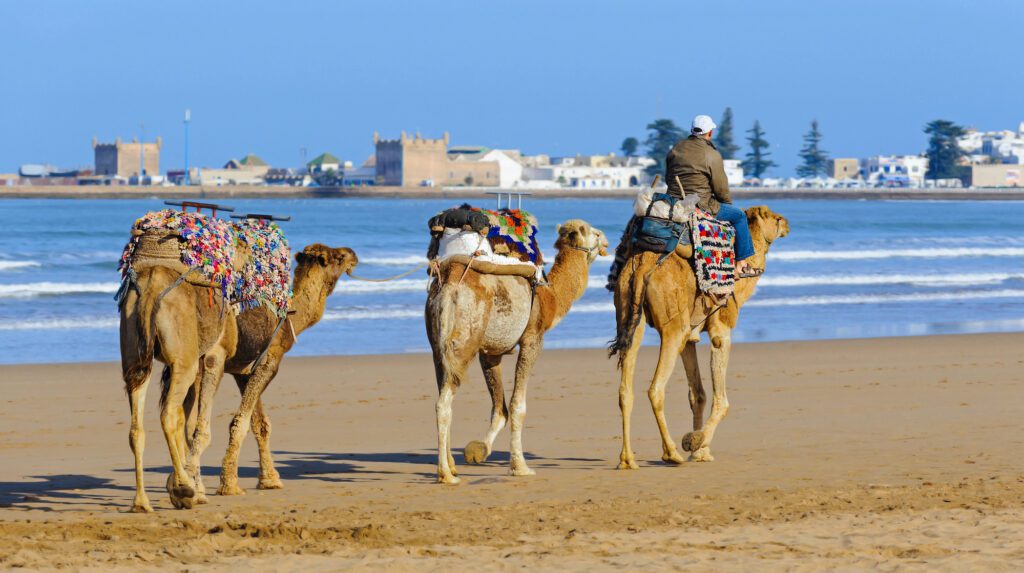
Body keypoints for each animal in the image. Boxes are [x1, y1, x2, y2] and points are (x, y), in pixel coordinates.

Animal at [425, 218, 606, 482]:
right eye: (595, 233)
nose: (606, 241)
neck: (550, 297)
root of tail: (449, 286)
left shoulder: (490, 351)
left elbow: (499, 408)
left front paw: (478, 450)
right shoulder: (533, 338)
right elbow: (517, 406)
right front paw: (520, 467)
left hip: (438, 345)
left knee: (443, 392)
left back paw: (451, 466)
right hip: (465, 340)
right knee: (443, 404)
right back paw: (446, 475)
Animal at [606, 207, 790, 468]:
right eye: (776, 218)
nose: (787, 224)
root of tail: (642, 267)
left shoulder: (689, 339)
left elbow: (698, 395)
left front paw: (700, 451)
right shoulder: (721, 329)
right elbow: (721, 400)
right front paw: (695, 443)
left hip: (630, 315)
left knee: (625, 391)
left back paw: (627, 459)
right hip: (673, 328)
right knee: (655, 389)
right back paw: (671, 453)